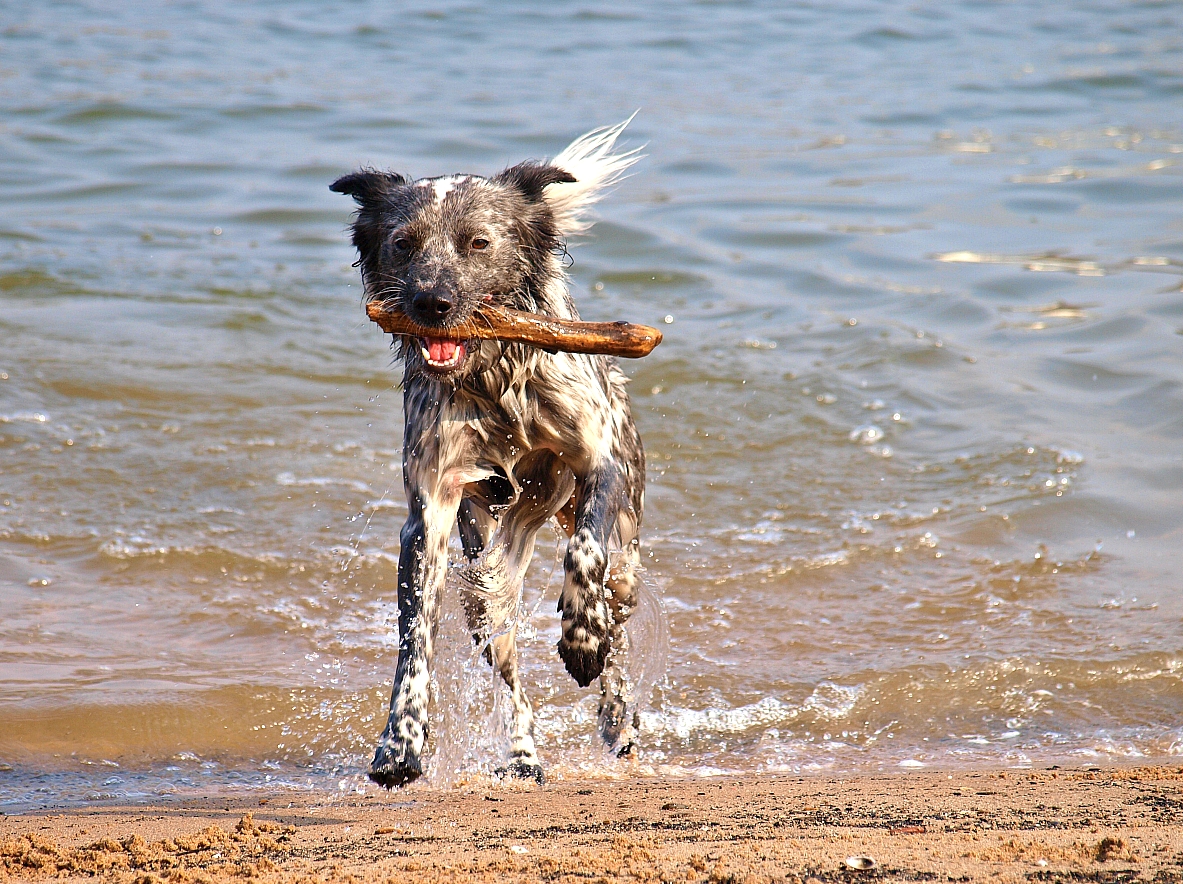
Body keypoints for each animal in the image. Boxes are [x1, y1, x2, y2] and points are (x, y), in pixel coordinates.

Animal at [331, 119, 648, 790]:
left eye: (477, 242)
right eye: (403, 244)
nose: (431, 303)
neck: (494, 376)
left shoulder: (600, 463)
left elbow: (584, 553)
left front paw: (581, 638)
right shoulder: (430, 513)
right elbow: (414, 642)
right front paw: (401, 742)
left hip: (627, 559)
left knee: (618, 619)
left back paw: (617, 712)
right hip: (482, 585)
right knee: (508, 670)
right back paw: (524, 755)